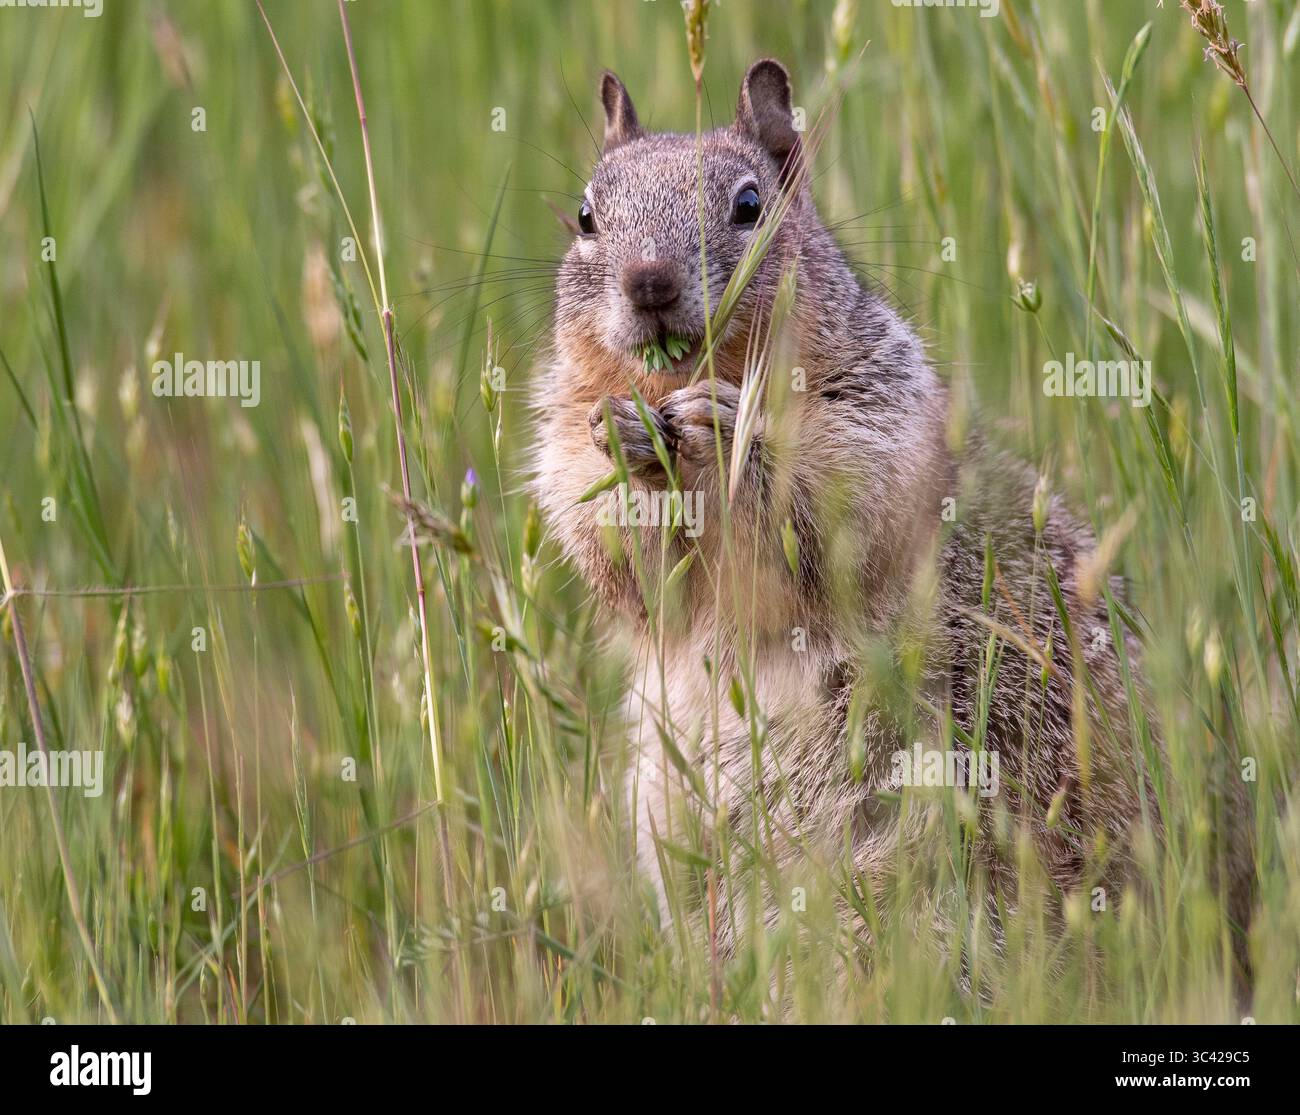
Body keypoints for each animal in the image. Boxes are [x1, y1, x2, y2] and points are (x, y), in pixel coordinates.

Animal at [531, 59, 1164, 955]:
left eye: (750, 204)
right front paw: (626, 442)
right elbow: (622, 557)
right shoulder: (563, 452)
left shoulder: (879, 416)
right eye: (586, 215)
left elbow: (830, 517)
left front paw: (725, 432)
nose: (648, 282)